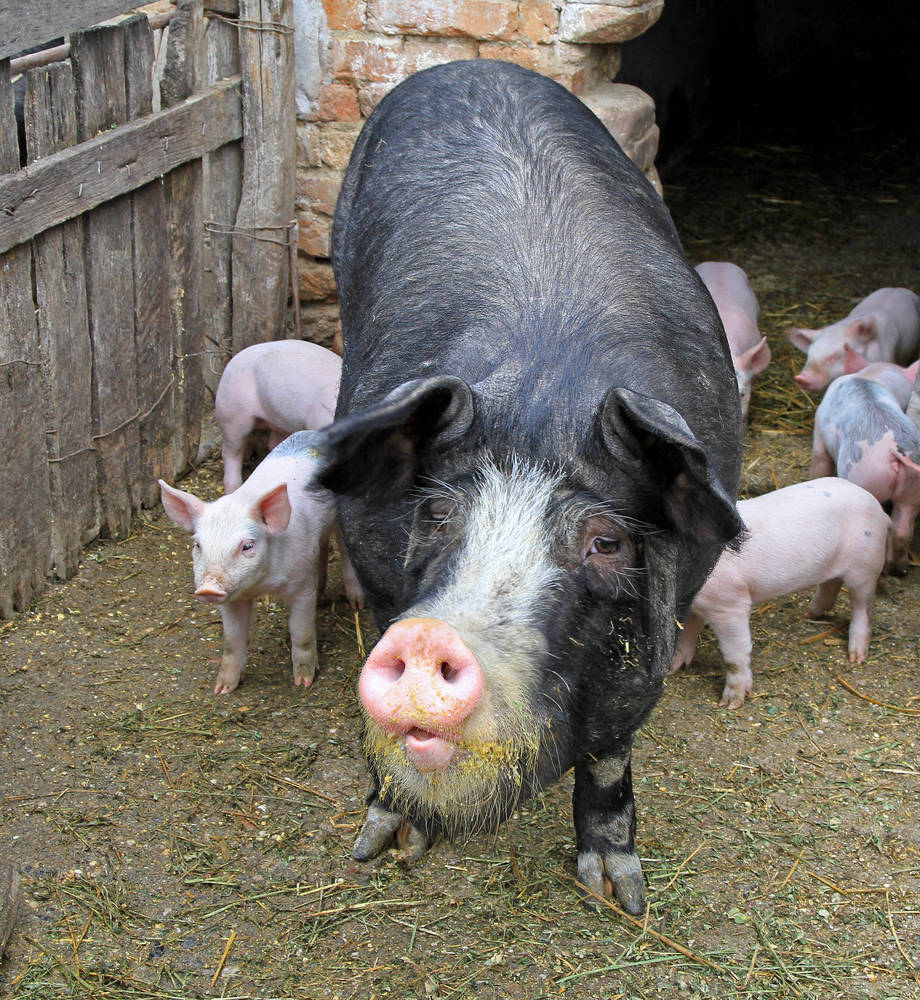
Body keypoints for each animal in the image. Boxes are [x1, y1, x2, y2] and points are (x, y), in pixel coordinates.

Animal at [316, 56, 748, 916]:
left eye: (605, 540)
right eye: (437, 514)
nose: (429, 638)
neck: (543, 394)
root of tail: (470, 62)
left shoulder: (665, 612)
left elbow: (611, 749)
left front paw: (619, 898)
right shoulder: (379, 568)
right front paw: (380, 849)